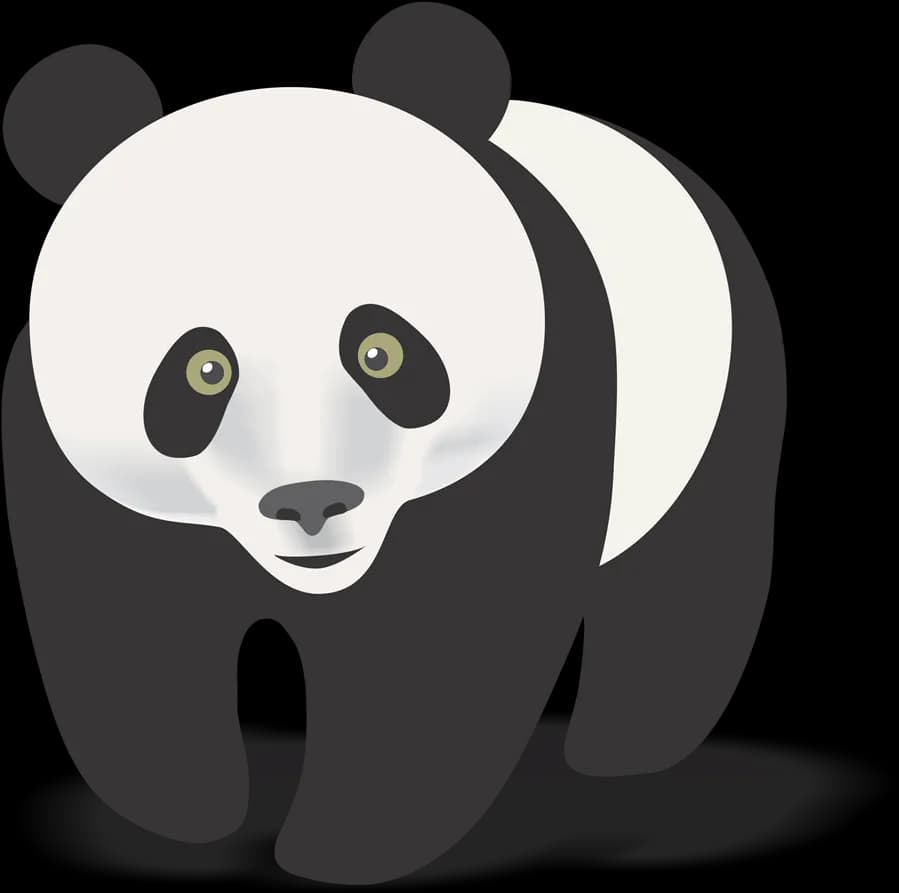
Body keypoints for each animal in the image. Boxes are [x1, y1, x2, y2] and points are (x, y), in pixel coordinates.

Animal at [1, 3, 785, 886]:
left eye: (380, 350)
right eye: (204, 369)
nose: (311, 502)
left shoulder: (543, 413)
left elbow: (443, 652)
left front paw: (345, 848)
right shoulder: (67, 470)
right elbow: (127, 630)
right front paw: (185, 816)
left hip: (718, 397)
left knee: (688, 572)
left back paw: (623, 752)